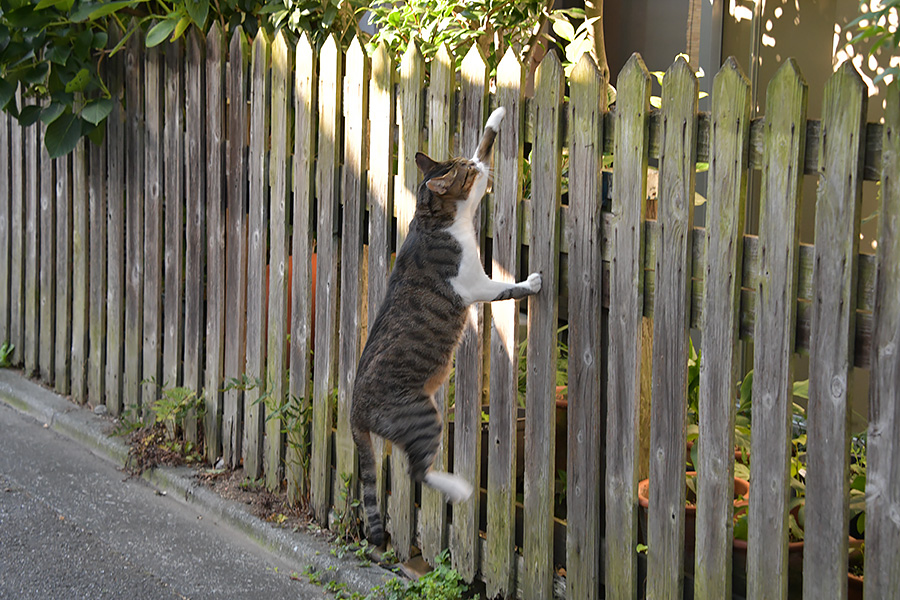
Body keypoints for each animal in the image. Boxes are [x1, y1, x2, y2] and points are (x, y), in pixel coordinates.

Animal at [352, 105, 540, 548]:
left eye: (465, 163)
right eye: (466, 175)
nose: (475, 167)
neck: (432, 220)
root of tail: (353, 412)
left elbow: (485, 139)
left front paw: (497, 115)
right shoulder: (476, 284)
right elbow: (507, 287)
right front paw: (533, 282)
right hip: (424, 416)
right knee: (415, 471)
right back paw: (461, 488)